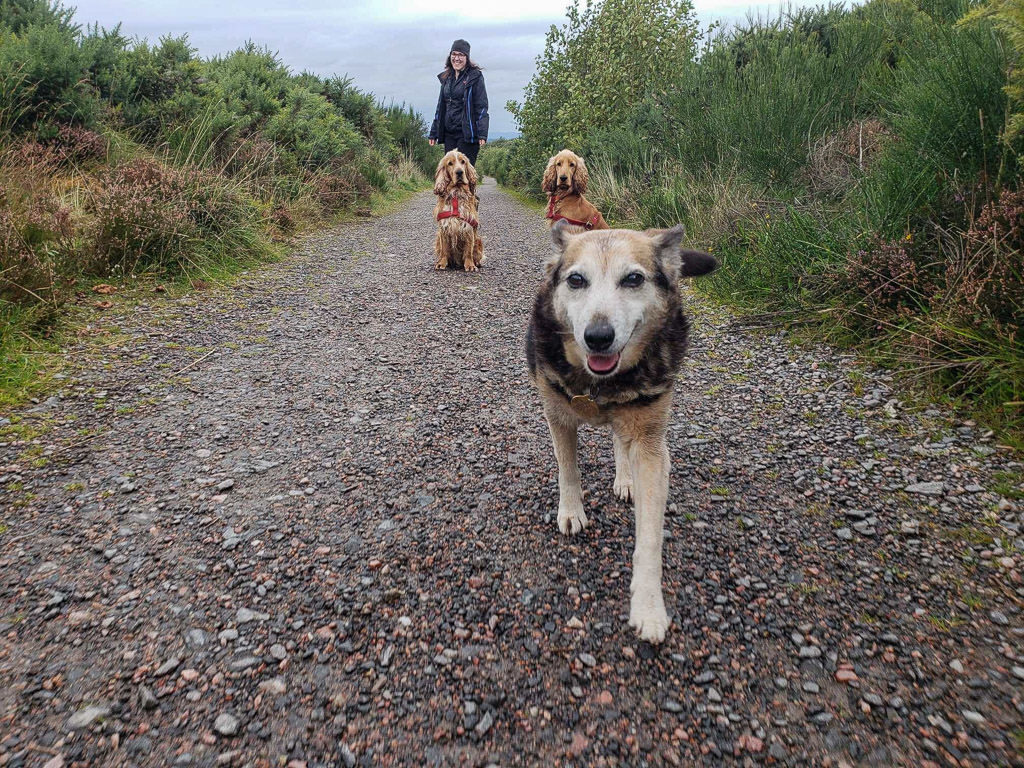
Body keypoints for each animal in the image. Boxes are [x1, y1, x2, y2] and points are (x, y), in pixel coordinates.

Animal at [528, 221, 720, 643]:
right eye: (576, 279)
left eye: (633, 278)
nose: (597, 337)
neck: (602, 384)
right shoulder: (558, 415)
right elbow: (569, 470)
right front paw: (572, 511)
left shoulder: (648, 442)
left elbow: (649, 539)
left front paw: (648, 607)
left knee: (621, 440)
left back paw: (625, 478)